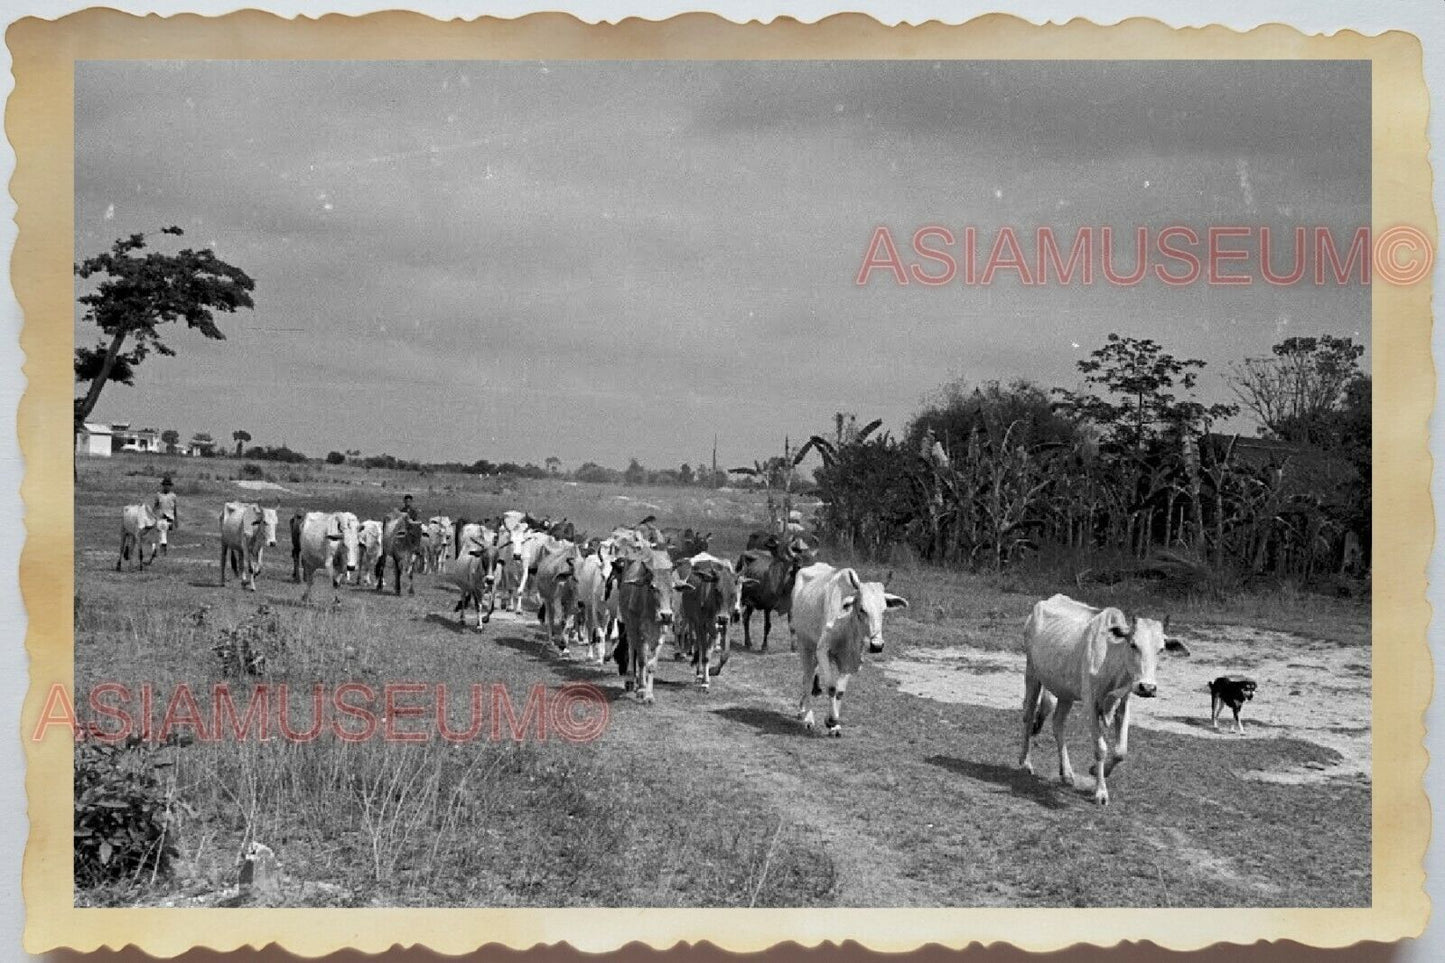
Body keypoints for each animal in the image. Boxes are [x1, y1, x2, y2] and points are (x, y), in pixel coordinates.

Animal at [791, 558, 901, 731]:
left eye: (883, 610)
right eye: (862, 609)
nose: (877, 645)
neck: (846, 624)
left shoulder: (849, 659)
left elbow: (840, 691)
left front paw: (834, 725)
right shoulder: (822, 650)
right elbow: (831, 687)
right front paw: (831, 720)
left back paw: (802, 709)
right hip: (805, 644)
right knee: (807, 679)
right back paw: (808, 717)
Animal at [1017, 592, 1184, 803]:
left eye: (1161, 649)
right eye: (1133, 644)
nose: (1147, 687)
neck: (1111, 659)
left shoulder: (1123, 702)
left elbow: (1121, 751)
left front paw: (1096, 771)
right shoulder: (1090, 703)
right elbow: (1100, 748)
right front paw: (1101, 792)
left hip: (1065, 692)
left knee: (1058, 724)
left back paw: (1067, 773)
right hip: (1032, 673)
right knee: (1029, 715)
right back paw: (1025, 762)